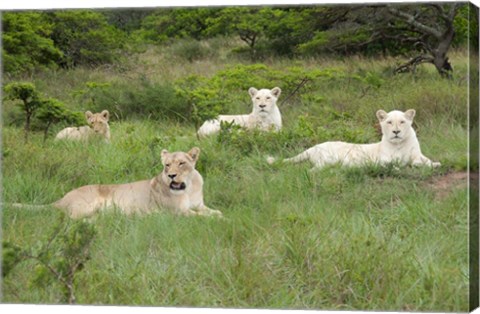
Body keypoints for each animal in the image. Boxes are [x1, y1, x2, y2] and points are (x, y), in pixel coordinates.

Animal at [268, 109, 440, 170]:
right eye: (389, 122)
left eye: (402, 122)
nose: (396, 132)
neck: (400, 144)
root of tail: (313, 147)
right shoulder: (383, 159)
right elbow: (394, 163)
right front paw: (399, 167)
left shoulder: (417, 154)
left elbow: (424, 160)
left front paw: (435, 164)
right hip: (328, 159)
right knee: (313, 170)